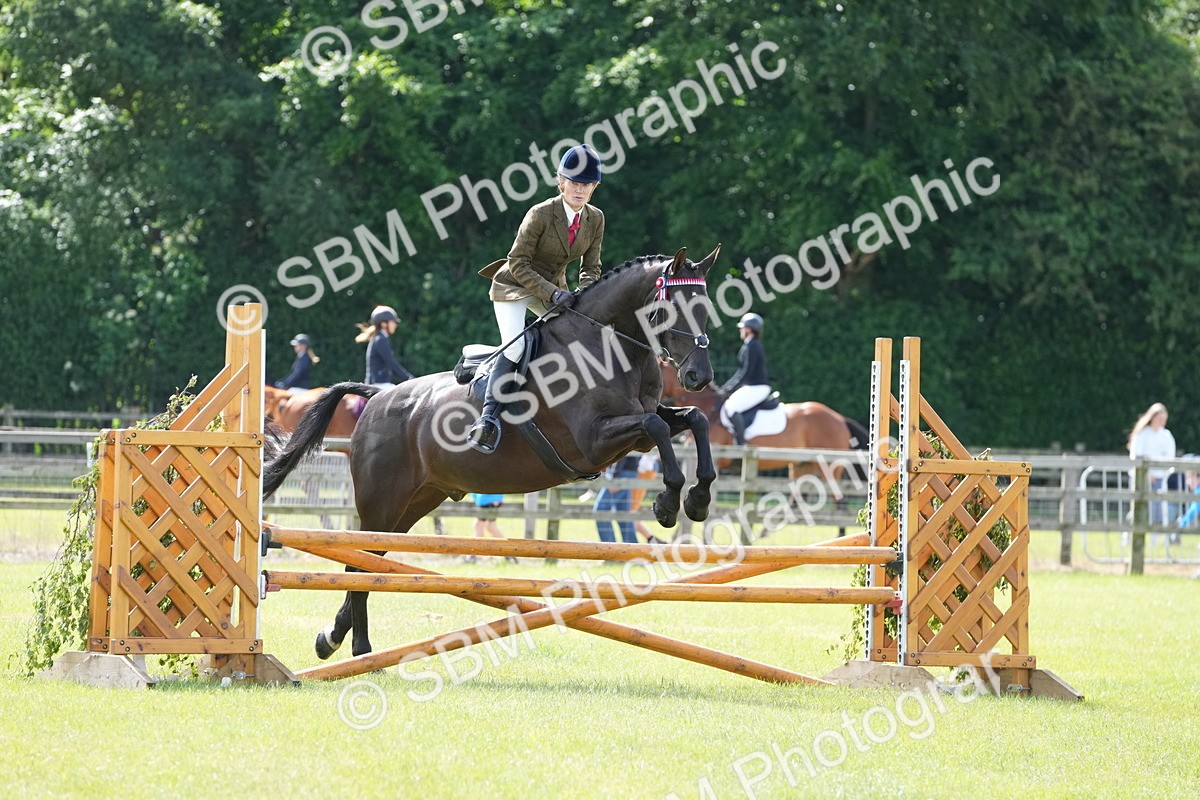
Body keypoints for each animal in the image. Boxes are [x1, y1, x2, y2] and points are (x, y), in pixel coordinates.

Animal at [263, 247, 721, 660]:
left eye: (705, 308)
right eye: (674, 307)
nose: (699, 376)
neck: (610, 348)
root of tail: (376, 397)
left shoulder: (637, 429)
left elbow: (693, 419)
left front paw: (698, 500)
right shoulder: (593, 442)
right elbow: (658, 428)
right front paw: (668, 502)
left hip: (414, 503)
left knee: (370, 561)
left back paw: (333, 639)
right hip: (382, 501)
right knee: (358, 565)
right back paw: (361, 650)